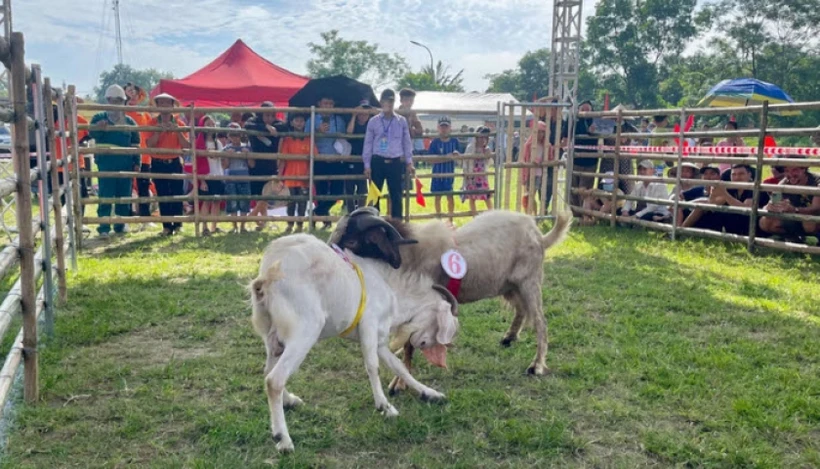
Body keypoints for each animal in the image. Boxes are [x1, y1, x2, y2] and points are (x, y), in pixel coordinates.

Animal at [250, 236, 458, 452]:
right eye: (438, 324)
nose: (425, 345)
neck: (390, 290)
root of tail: (267, 275)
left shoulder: (379, 340)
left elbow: (399, 367)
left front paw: (431, 393)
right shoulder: (369, 324)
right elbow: (373, 366)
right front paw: (384, 406)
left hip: (273, 337)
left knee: (268, 370)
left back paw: (290, 401)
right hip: (305, 330)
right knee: (274, 380)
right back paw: (283, 439)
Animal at [330, 208, 572, 380]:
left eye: (351, 241)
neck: (410, 254)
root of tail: (539, 234)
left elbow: (410, 343)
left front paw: (398, 384)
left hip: (529, 282)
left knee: (540, 322)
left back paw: (536, 366)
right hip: (510, 285)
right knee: (521, 310)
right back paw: (509, 338)